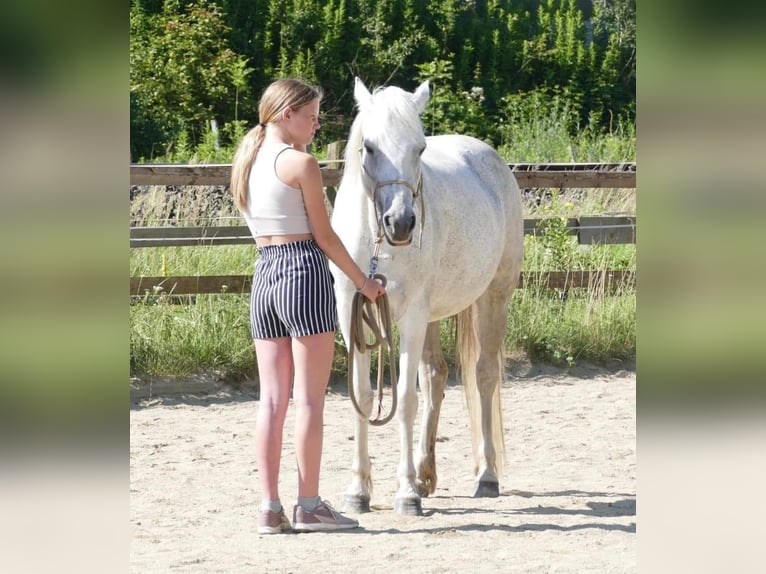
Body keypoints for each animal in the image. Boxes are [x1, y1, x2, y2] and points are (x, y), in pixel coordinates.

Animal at [328, 77, 524, 516]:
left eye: (419, 149)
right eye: (369, 147)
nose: (401, 223)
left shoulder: (412, 318)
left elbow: (404, 399)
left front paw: (405, 495)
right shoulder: (352, 315)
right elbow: (362, 395)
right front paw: (358, 491)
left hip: (493, 297)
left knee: (484, 376)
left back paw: (486, 476)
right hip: (435, 315)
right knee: (435, 376)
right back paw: (425, 474)